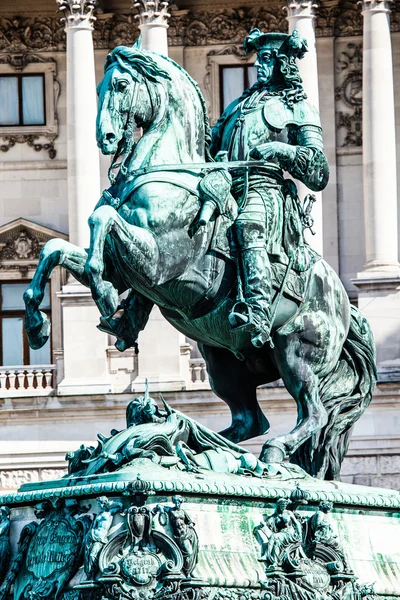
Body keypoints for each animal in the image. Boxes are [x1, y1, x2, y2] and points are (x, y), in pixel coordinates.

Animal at [23, 42, 376, 480]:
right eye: (99, 87)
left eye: (120, 85)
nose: (105, 138)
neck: (167, 172)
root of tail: (345, 304)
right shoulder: (128, 270)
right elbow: (54, 249)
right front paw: (38, 323)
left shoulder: (156, 262)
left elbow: (99, 221)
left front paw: (102, 295)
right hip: (221, 360)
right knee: (249, 421)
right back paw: (197, 444)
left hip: (297, 351)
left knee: (313, 412)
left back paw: (265, 452)